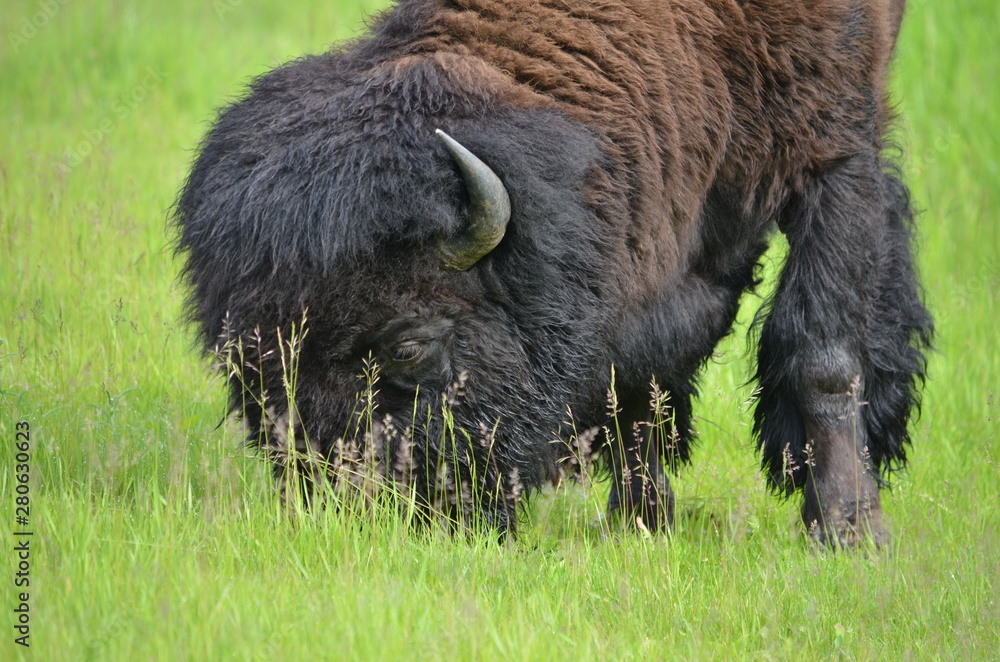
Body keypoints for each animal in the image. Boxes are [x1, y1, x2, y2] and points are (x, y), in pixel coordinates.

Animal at [172, 1, 928, 548]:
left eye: (409, 345)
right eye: (248, 365)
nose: (353, 514)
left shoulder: (833, 157)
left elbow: (821, 355)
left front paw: (851, 533)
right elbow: (647, 373)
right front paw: (641, 525)